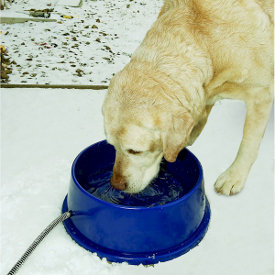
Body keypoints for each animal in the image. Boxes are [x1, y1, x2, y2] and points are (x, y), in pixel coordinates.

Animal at [102, 0, 274, 196]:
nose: (116, 185)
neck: (205, 43)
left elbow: (248, 143)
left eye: (135, 151)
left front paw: (234, 176)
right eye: (112, 146)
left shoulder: (260, 93)